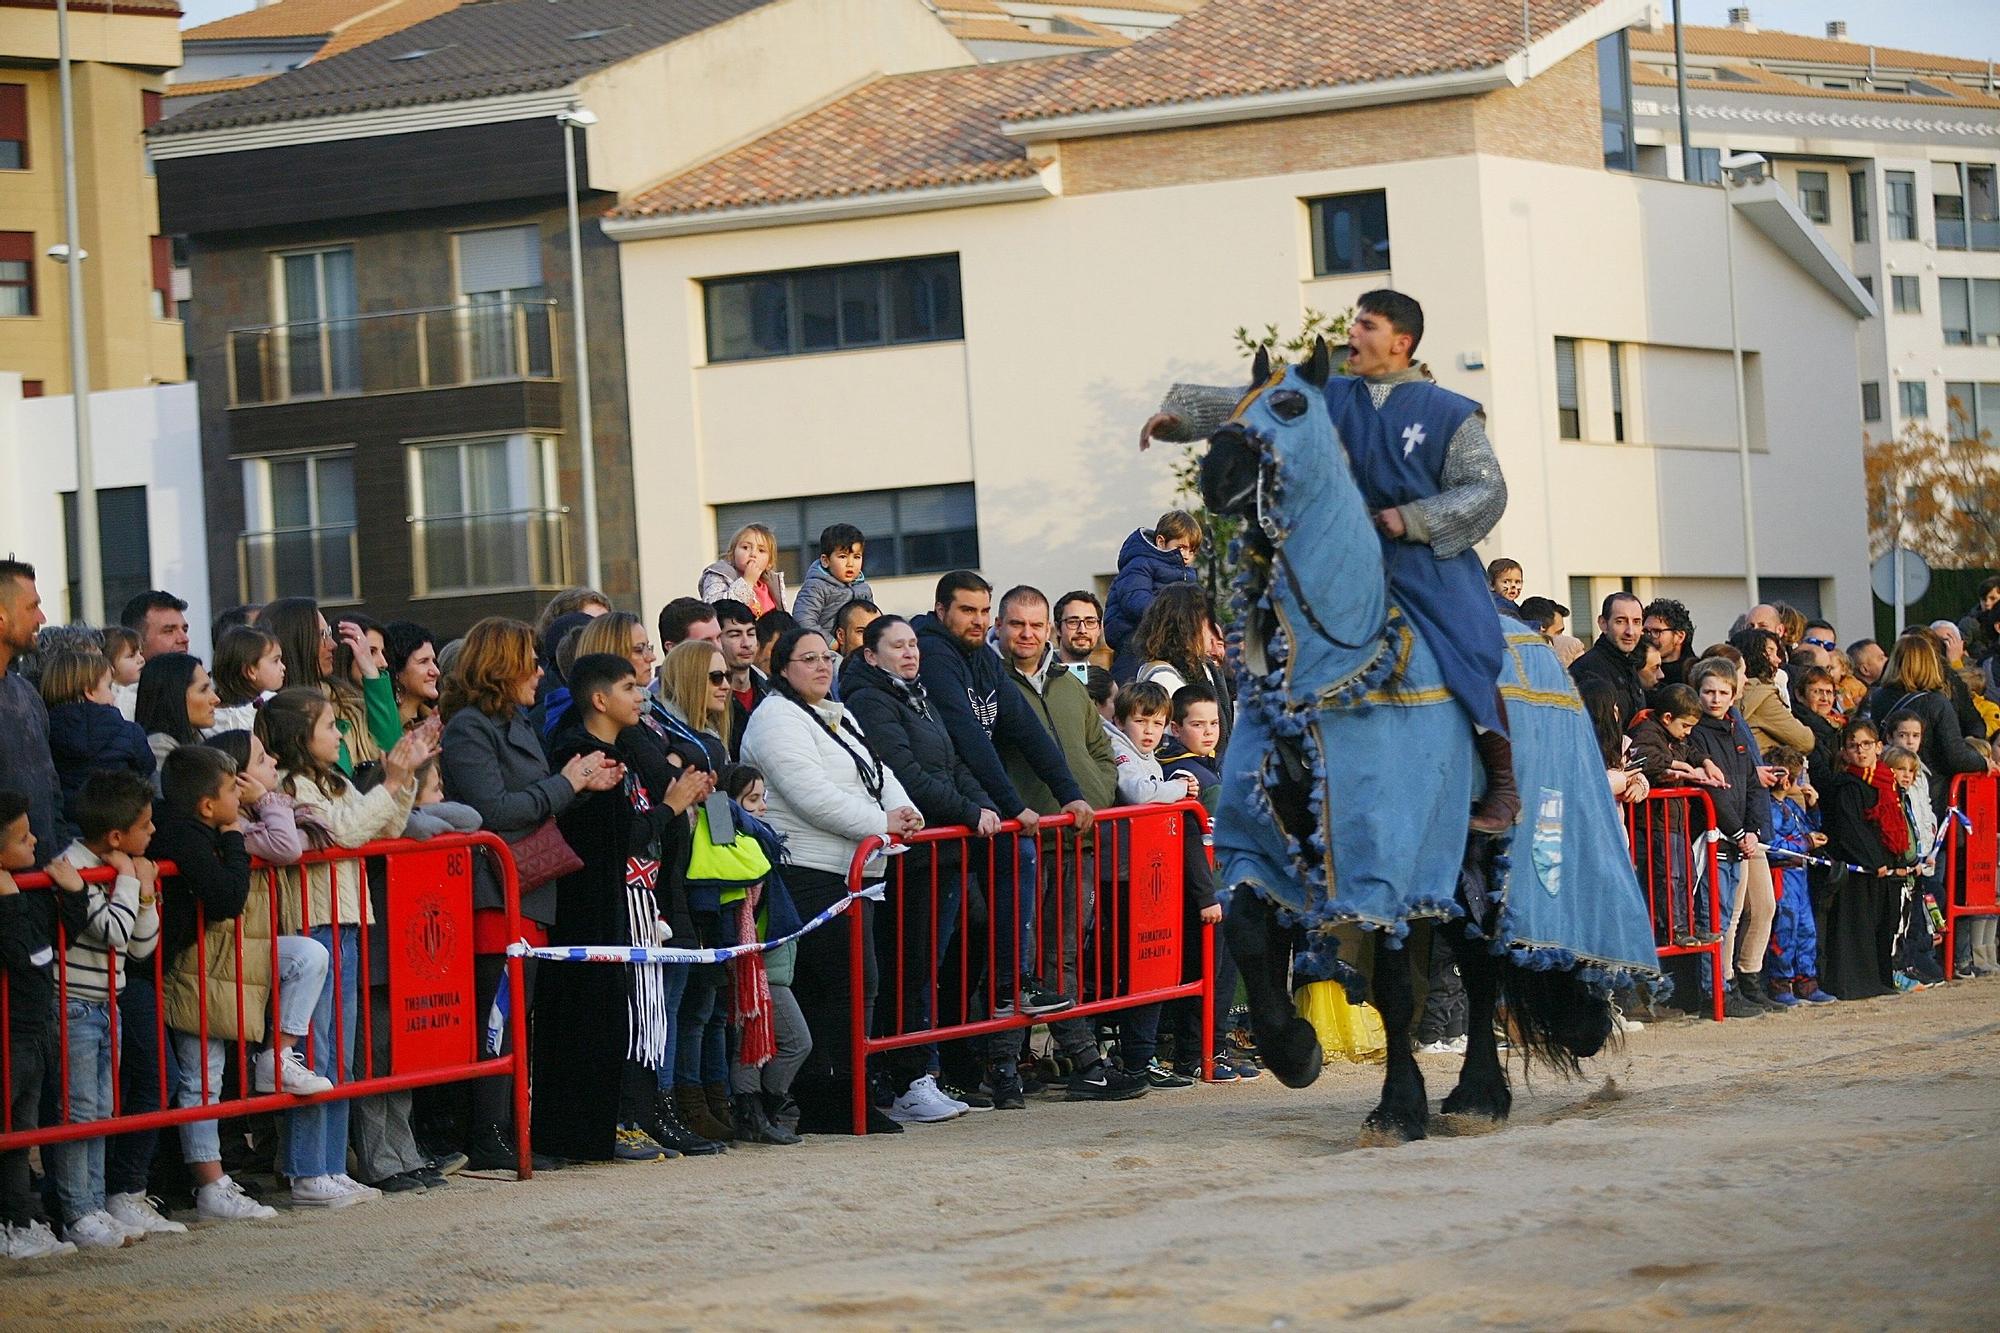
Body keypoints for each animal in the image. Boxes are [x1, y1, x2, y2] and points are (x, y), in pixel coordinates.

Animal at [1192, 338, 1664, 1136]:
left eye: (1289, 405)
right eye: (1237, 403)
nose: (1216, 469)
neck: (1333, 674)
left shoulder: (1394, 854)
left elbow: (1395, 986)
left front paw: (1397, 1106)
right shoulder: (1269, 841)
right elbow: (1252, 931)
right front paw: (1296, 1050)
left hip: (1494, 858)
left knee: (1483, 970)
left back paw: (1479, 1094)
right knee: (1474, 968)